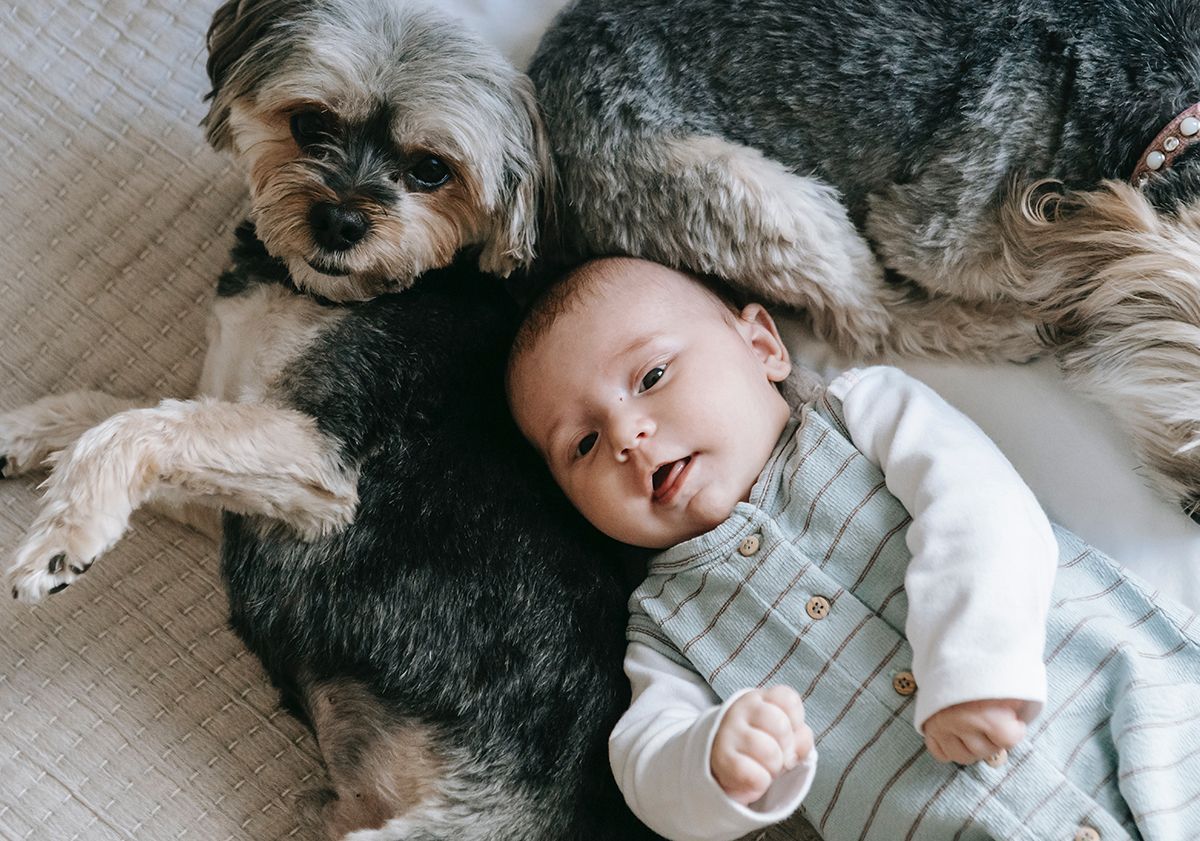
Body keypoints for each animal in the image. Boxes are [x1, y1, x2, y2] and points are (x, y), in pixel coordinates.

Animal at [4, 1, 652, 839]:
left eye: (431, 169)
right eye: (310, 123)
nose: (339, 222)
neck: (320, 293)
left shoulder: (320, 466)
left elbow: (140, 425)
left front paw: (62, 540)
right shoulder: (234, 473)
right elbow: (111, 412)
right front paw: (20, 435)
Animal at [532, 0, 1200, 511]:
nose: (1193, 512)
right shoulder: (932, 228)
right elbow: (1031, 269)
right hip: (747, 194)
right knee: (873, 318)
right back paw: (1003, 330)